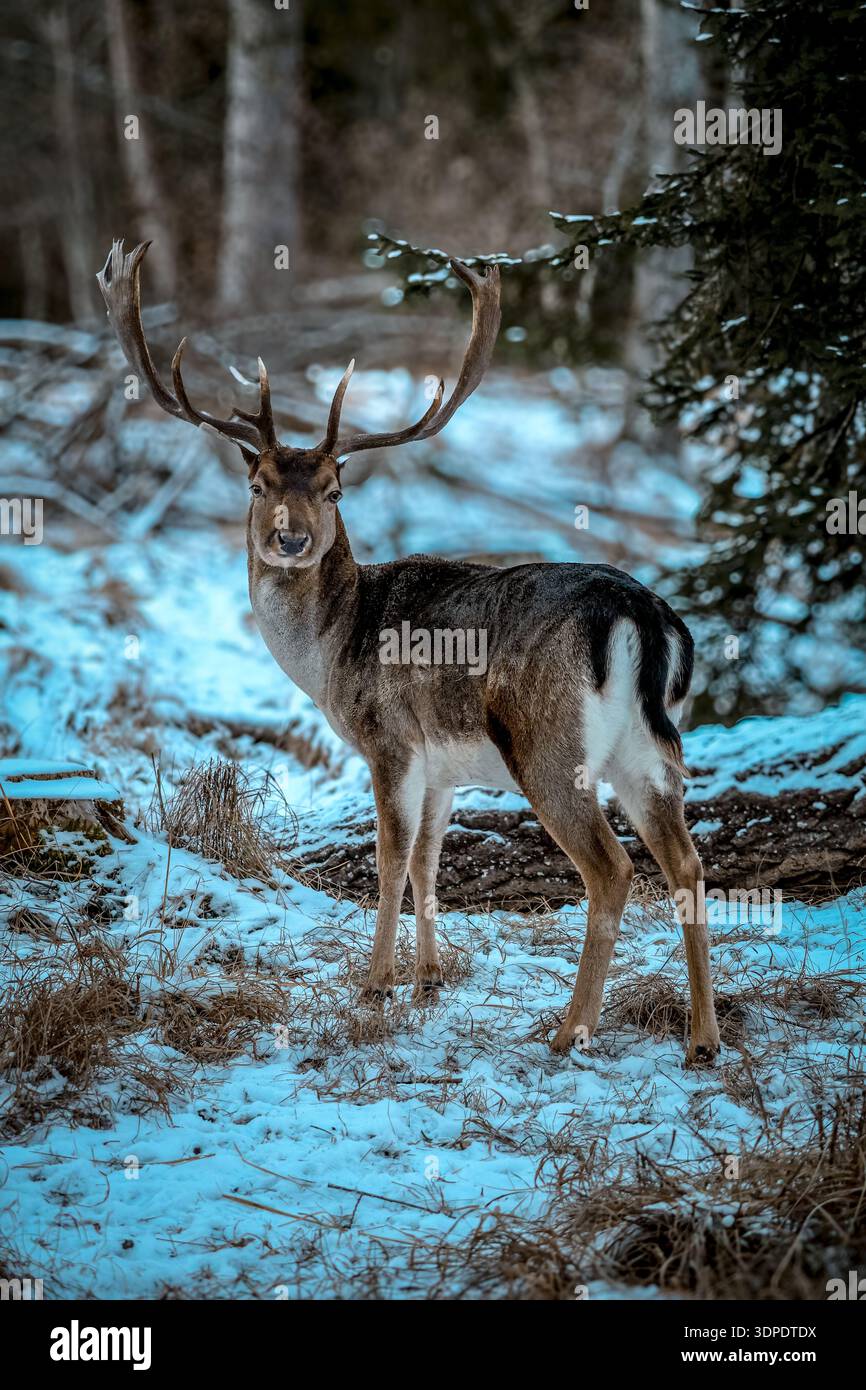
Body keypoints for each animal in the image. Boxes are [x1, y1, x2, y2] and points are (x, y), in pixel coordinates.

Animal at [97, 239, 720, 1064]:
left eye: (334, 490)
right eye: (259, 484)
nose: (290, 539)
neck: (331, 650)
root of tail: (645, 618)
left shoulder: (387, 738)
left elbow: (389, 861)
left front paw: (375, 985)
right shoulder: (442, 767)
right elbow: (428, 861)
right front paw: (428, 981)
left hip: (550, 743)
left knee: (612, 869)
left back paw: (571, 1030)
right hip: (649, 749)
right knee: (688, 863)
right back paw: (704, 1040)